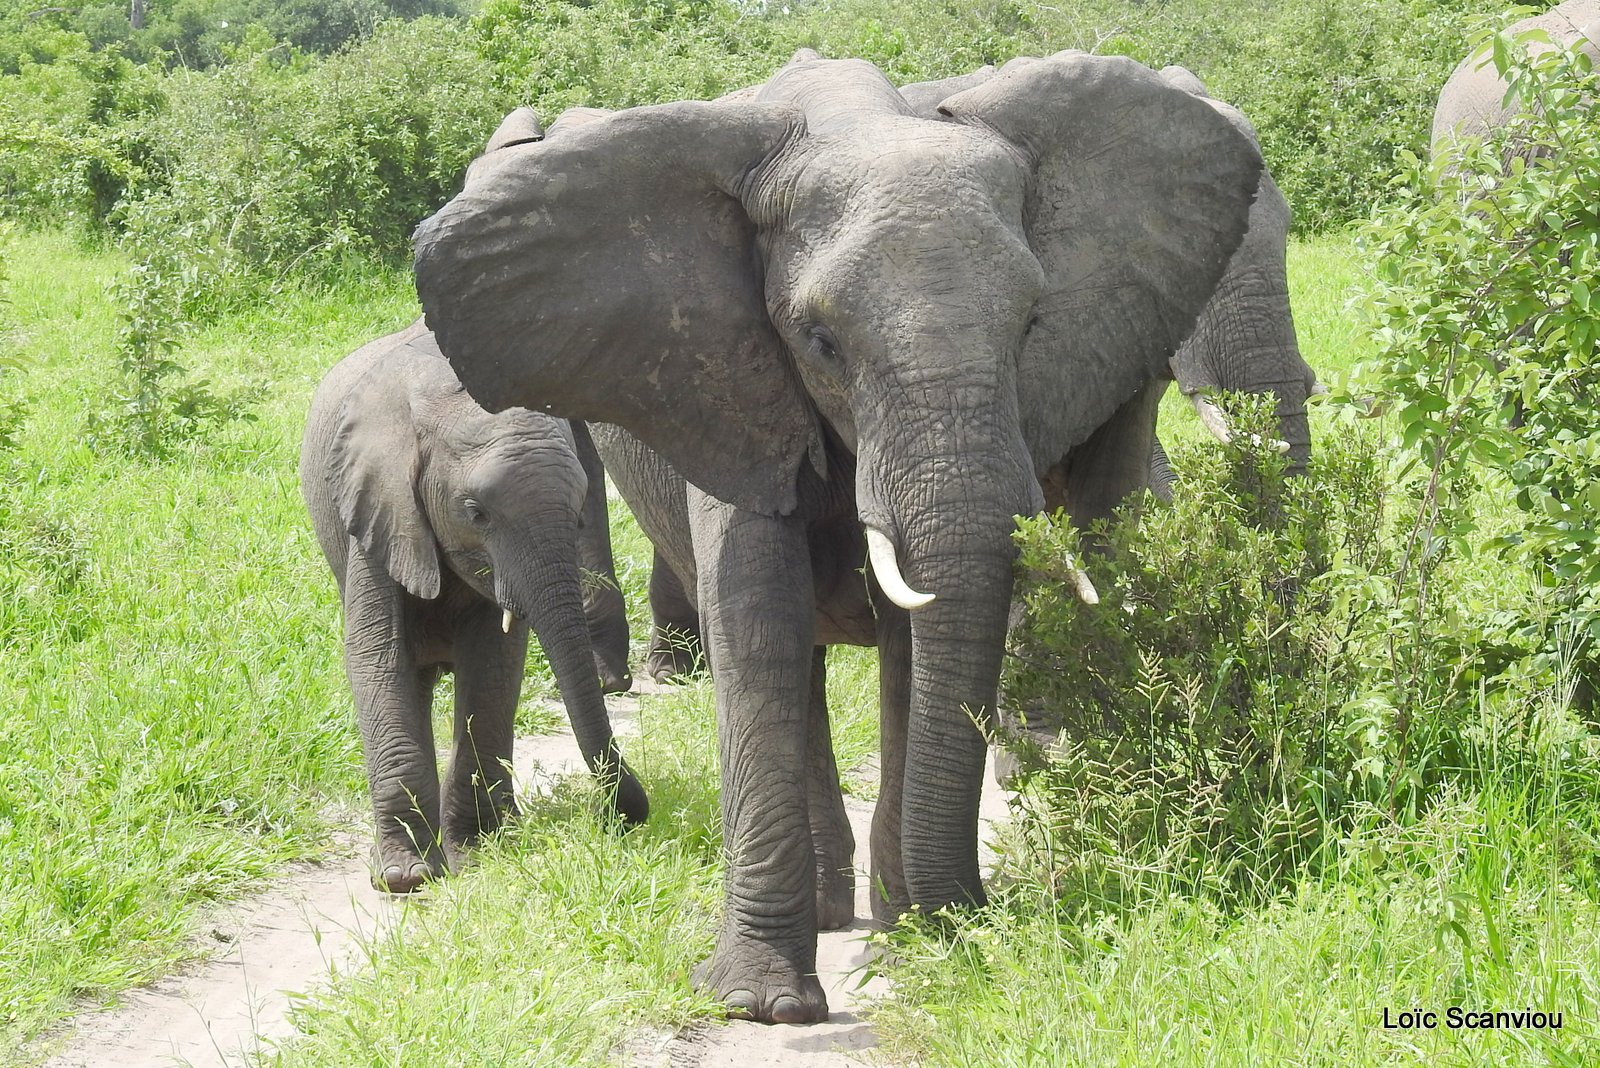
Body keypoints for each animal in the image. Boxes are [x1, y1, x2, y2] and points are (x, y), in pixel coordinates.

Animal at [300, 319, 649, 895]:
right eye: (475, 512)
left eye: (578, 512)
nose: (625, 817)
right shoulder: (379, 509)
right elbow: (376, 658)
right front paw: (406, 877)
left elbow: (494, 665)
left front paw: (481, 850)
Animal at [416, 51, 1260, 1023]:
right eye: (819, 340)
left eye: (1031, 325)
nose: (967, 925)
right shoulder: (728, 385)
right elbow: (756, 627)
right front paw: (759, 1004)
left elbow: (909, 651)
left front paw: (916, 943)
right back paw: (824, 914)